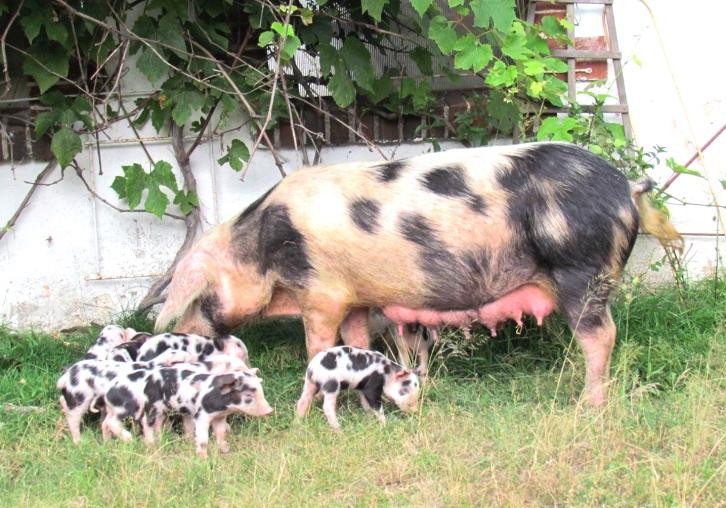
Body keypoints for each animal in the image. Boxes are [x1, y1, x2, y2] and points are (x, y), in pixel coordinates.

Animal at [154, 142, 684, 404]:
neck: (264, 250)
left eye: (198, 297)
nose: (183, 334)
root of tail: (626, 186)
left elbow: (317, 346)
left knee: (601, 335)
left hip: (581, 268)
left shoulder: (320, 291)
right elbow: (357, 340)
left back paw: (588, 404)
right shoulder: (356, 296)